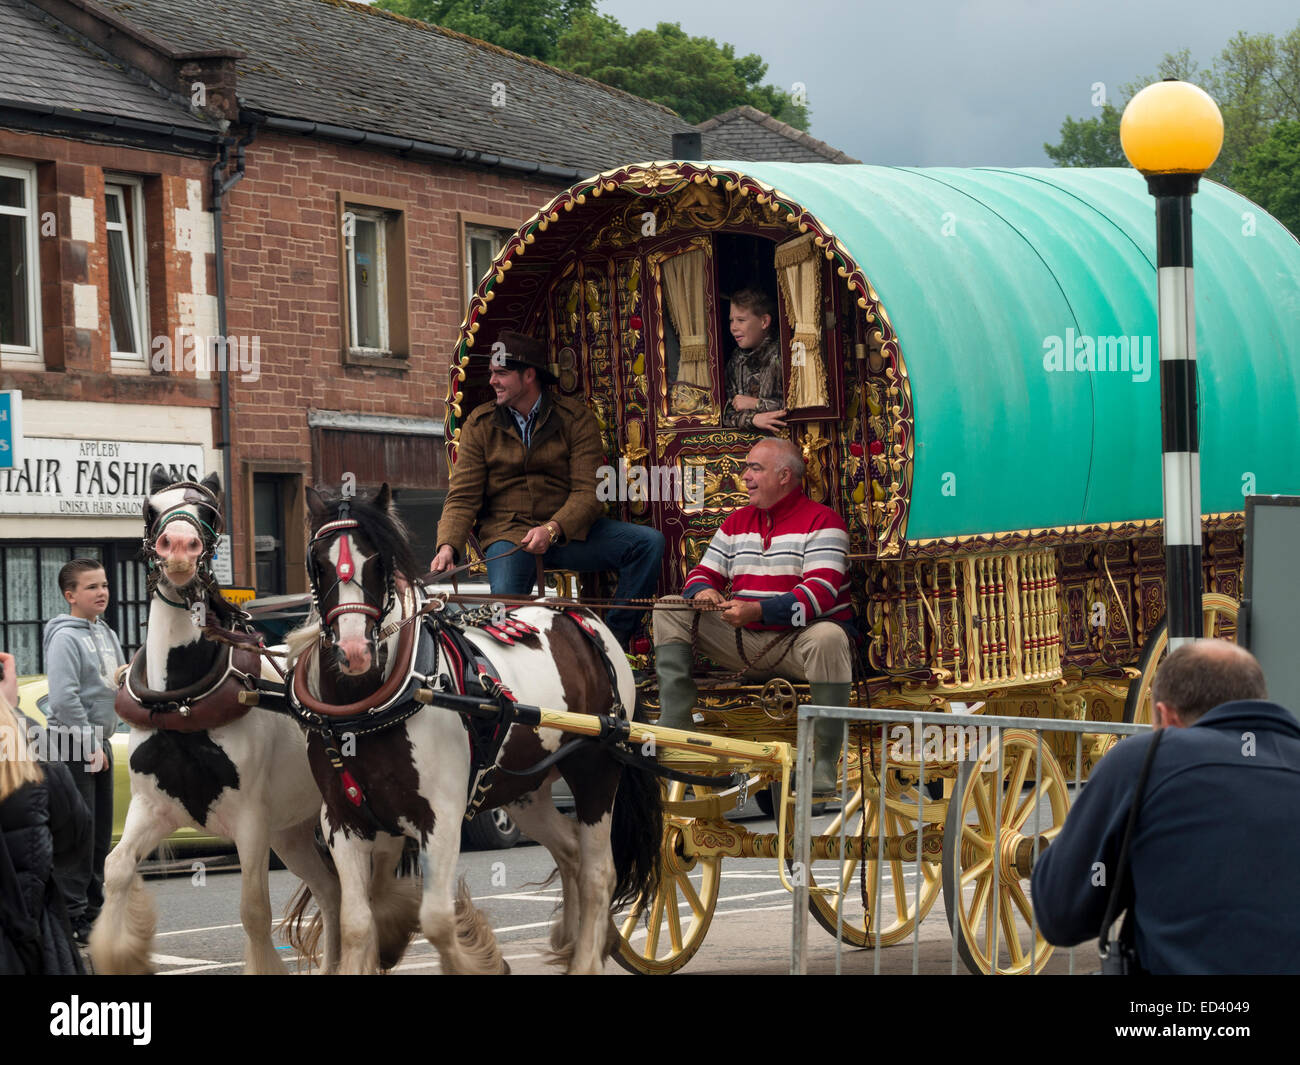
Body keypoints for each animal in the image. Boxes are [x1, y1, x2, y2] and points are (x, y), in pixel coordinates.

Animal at [91, 473, 340, 972]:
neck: (183, 700)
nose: (179, 548)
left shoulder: (250, 821)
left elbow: (254, 912)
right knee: (331, 892)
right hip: (292, 832)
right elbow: (117, 867)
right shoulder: (151, 808)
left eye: (209, 512)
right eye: (150, 509)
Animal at [289, 486, 665, 977]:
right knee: (571, 851)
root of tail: (581, 616)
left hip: (596, 770)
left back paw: (585, 959)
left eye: (379, 562)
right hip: (522, 789)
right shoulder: (343, 821)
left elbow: (436, 918)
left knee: (599, 872)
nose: (354, 652)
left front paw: (480, 962)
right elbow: (356, 922)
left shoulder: (441, 816)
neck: (371, 708)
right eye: (319, 562)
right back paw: (576, 937)